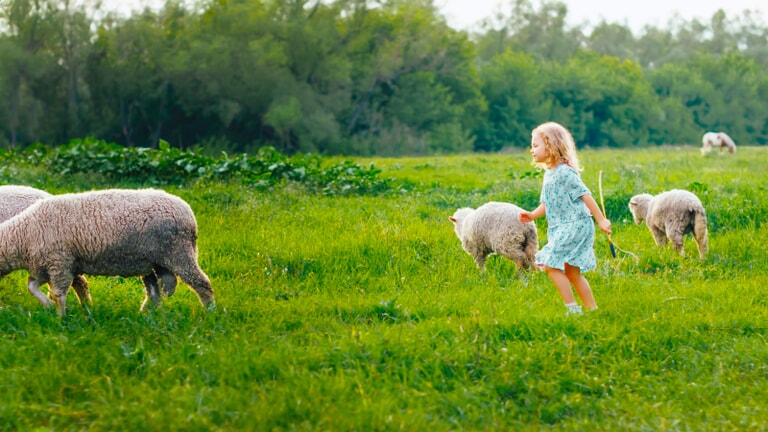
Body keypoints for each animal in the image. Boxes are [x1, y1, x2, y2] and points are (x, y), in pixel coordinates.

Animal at [0, 187, 213, 316]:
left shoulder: (59, 264)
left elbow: (59, 294)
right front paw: (49, 306)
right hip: (152, 262)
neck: (22, 234)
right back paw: (143, 315)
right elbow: (32, 286)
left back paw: (210, 312)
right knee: (155, 292)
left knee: (201, 283)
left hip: (179, 253)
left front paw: (60, 318)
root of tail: (187, 211)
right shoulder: (47, 267)